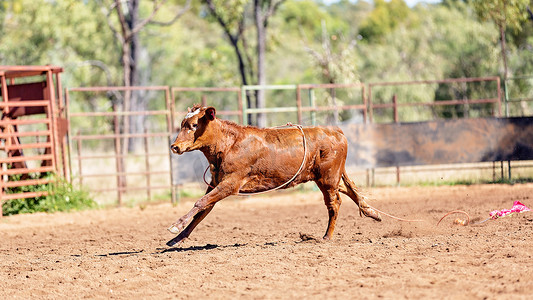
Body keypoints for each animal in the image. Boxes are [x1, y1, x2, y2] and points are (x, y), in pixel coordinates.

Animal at [166, 105, 378, 246]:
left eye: (194, 125)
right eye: (183, 124)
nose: (174, 146)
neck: (229, 144)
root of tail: (336, 131)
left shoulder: (230, 184)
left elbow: (200, 203)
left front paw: (176, 225)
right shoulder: (216, 183)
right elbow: (202, 211)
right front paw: (177, 239)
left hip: (328, 178)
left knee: (335, 203)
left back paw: (327, 236)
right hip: (325, 177)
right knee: (348, 189)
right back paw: (371, 212)